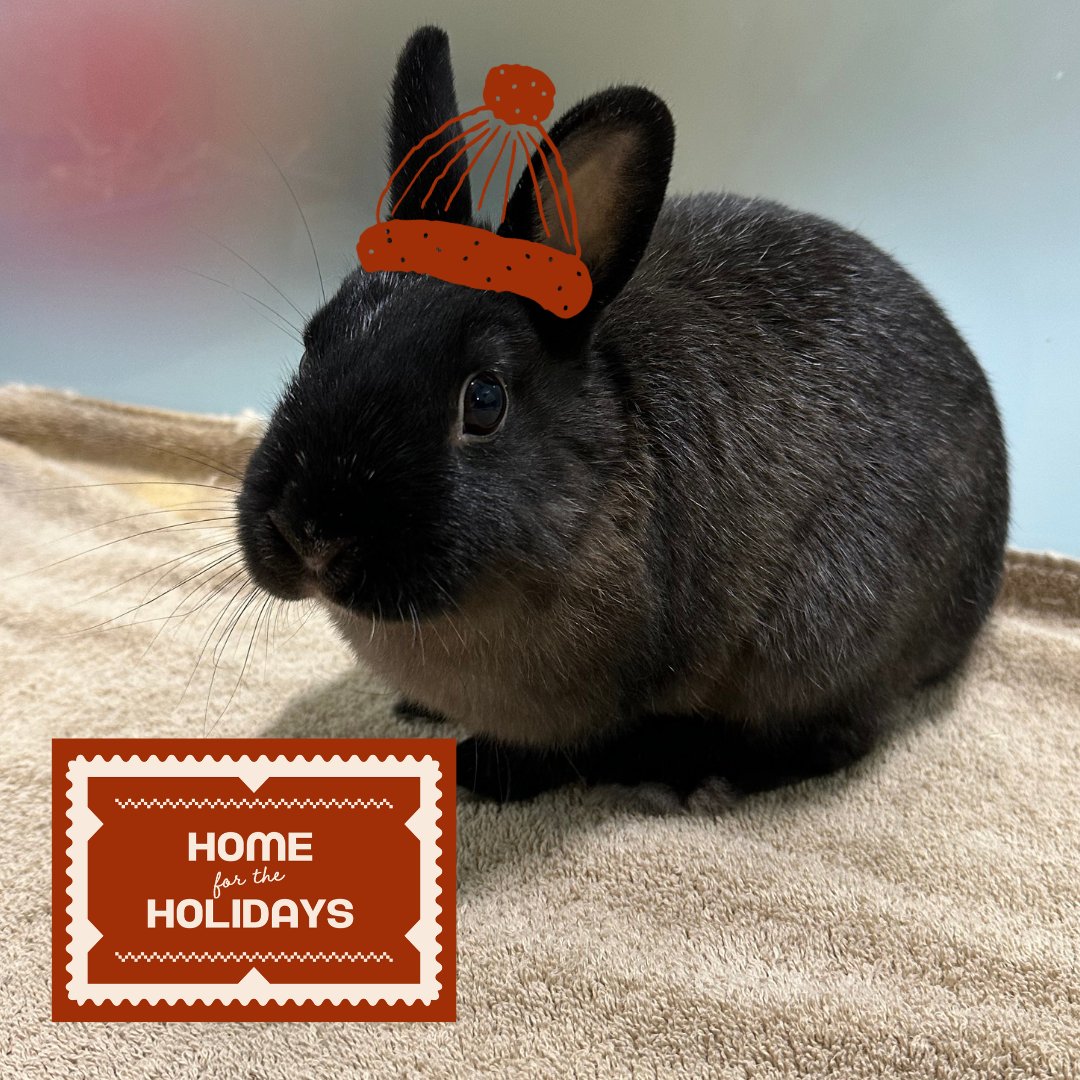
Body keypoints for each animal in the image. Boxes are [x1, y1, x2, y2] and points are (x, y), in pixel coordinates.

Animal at [236, 26, 1009, 803]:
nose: (310, 535)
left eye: (484, 401)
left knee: (838, 738)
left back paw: (704, 775)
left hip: (819, 645)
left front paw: (484, 771)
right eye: (314, 339)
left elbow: (572, 747)